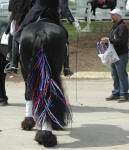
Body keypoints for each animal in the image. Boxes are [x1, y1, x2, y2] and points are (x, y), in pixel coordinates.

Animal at [19, 19, 71, 147]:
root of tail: (41, 33)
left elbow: (29, 95)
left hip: (29, 73)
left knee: (35, 95)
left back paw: (43, 134)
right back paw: (47, 134)